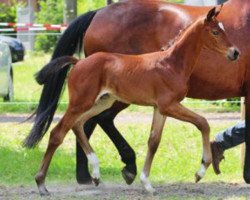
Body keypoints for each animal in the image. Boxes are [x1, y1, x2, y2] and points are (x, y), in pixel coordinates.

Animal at [25, 0, 250, 184]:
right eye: (215, 32)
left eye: (224, 29)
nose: (235, 52)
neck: (171, 62)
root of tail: (78, 62)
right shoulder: (169, 105)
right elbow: (204, 123)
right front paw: (202, 170)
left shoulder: (161, 108)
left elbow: (153, 141)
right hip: (85, 102)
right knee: (68, 129)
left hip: (102, 100)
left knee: (82, 124)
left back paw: (96, 173)